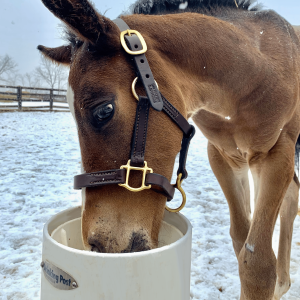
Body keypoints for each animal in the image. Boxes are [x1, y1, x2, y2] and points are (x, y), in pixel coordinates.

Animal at [38, 0, 300, 300]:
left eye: (104, 110)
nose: (98, 245)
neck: (252, 73)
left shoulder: (276, 154)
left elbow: (258, 264)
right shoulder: (223, 156)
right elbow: (240, 238)